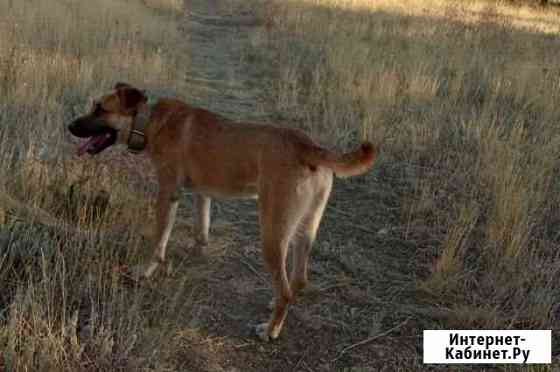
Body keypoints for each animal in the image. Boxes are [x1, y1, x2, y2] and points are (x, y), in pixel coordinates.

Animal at [68, 83, 378, 342]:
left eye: (100, 109)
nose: (69, 125)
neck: (150, 121)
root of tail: (309, 146)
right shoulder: (202, 193)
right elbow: (201, 228)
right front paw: (198, 250)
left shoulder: (168, 193)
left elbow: (158, 242)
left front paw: (145, 271)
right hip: (305, 229)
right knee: (298, 282)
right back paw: (276, 304)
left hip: (272, 233)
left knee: (286, 289)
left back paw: (270, 330)